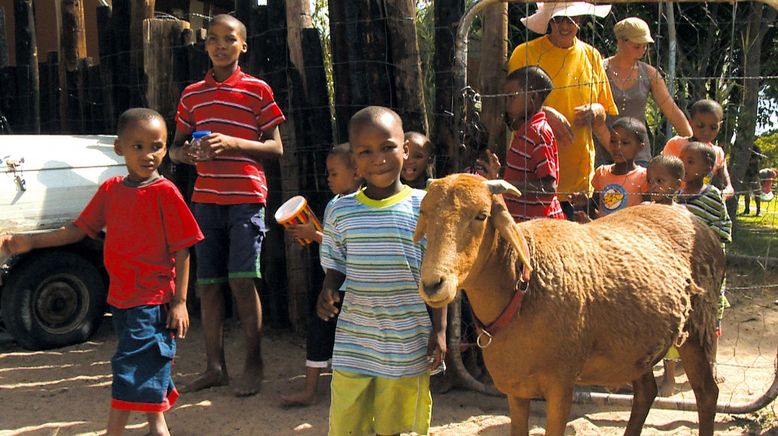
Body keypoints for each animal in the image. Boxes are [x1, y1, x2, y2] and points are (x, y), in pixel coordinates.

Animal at [416, 175, 724, 436]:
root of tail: (697, 223)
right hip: (636, 345)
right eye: (424, 214)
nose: (433, 285)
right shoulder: (515, 388)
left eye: (481, 215)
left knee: (707, 393)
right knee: (646, 391)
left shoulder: (561, 385)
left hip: (698, 327)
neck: (522, 286)